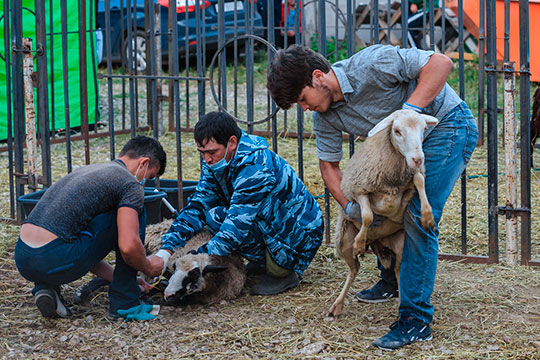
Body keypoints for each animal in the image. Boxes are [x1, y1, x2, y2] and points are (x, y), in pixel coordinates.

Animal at [330, 108, 438, 316]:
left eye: (423, 129)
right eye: (397, 131)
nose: (418, 159)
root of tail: (377, 242)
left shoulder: (413, 175)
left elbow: (420, 181)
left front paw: (427, 216)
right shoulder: (360, 189)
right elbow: (367, 216)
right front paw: (360, 241)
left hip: (401, 243)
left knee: (397, 270)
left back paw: (401, 304)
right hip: (343, 240)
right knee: (354, 269)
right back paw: (337, 305)